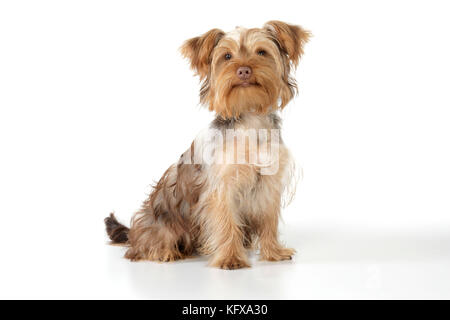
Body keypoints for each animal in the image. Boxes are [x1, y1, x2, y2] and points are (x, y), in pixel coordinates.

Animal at [105, 20, 310, 270]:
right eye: (227, 56)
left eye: (261, 52)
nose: (243, 70)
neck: (250, 118)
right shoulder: (221, 187)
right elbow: (226, 221)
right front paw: (231, 258)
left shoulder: (268, 184)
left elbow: (268, 220)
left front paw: (273, 252)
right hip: (162, 222)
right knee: (143, 245)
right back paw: (163, 251)